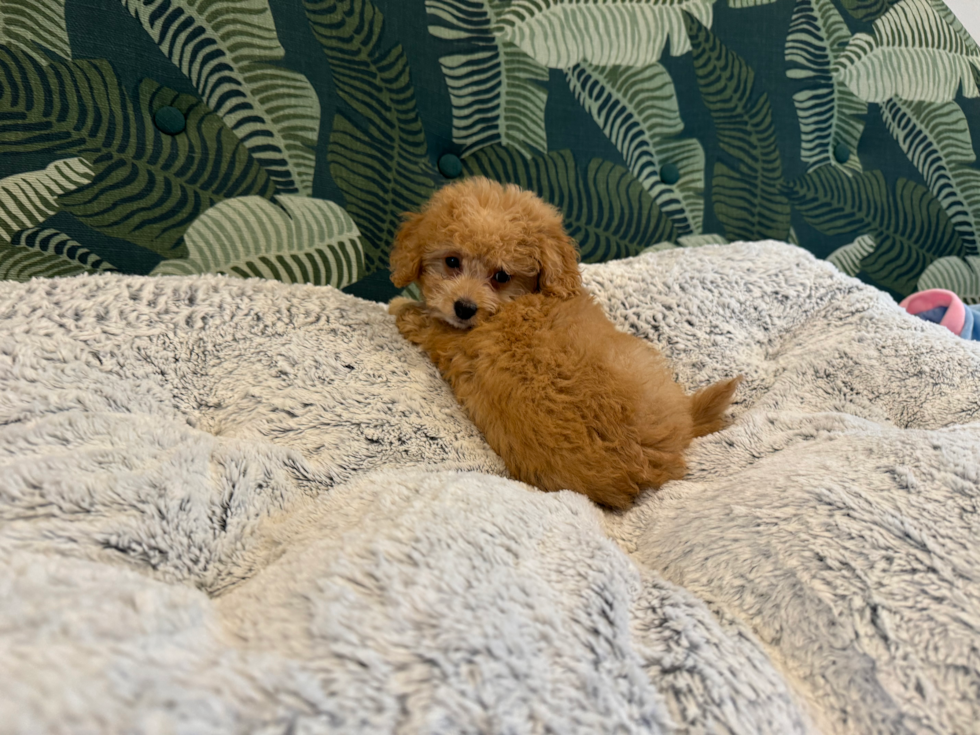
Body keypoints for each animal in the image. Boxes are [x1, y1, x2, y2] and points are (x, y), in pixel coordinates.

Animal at [386, 178, 740, 512]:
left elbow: (424, 324)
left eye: (501, 276)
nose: (464, 307)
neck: (512, 307)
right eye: (452, 261)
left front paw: (400, 308)